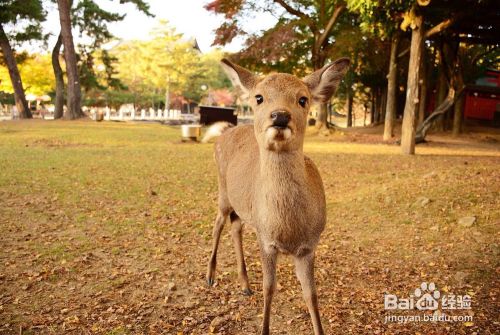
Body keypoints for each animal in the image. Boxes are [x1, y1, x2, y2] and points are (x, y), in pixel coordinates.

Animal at [205, 57, 350, 335]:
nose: (280, 115)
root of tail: (226, 130)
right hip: (222, 190)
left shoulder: (309, 245)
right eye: (259, 97)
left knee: (235, 227)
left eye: (303, 99)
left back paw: (244, 285)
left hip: (241, 207)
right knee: (218, 224)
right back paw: (210, 277)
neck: (288, 230)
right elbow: (269, 289)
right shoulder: (266, 240)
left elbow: (311, 295)